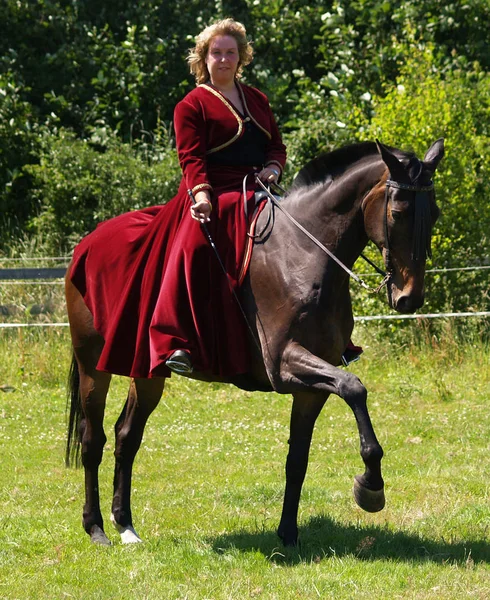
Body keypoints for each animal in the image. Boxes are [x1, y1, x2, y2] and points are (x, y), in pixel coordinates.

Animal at [64, 138, 444, 548]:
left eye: (435, 214)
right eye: (399, 212)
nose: (409, 298)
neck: (303, 254)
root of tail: (86, 245)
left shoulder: (312, 385)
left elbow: (298, 459)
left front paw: (288, 534)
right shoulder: (285, 363)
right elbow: (354, 388)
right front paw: (371, 488)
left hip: (146, 372)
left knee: (126, 436)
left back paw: (126, 525)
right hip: (92, 367)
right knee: (92, 440)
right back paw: (96, 528)